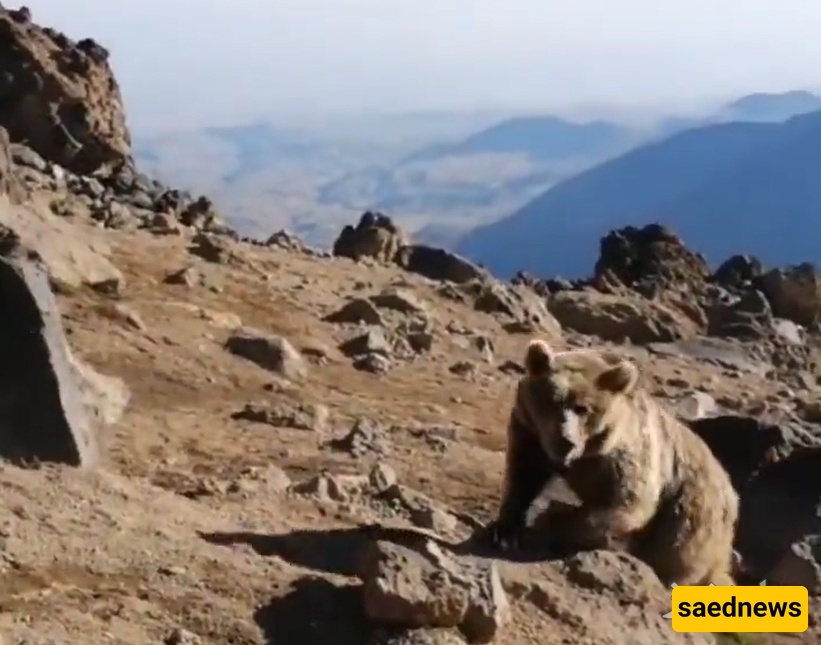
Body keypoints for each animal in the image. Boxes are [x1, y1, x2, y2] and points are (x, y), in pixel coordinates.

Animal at [487, 338, 740, 587]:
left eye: (583, 408)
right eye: (553, 401)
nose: (566, 440)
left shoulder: (623, 453)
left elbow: (626, 502)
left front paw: (550, 519)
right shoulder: (530, 432)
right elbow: (523, 475)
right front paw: (507, 531)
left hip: (692, 505)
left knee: (677, 546)